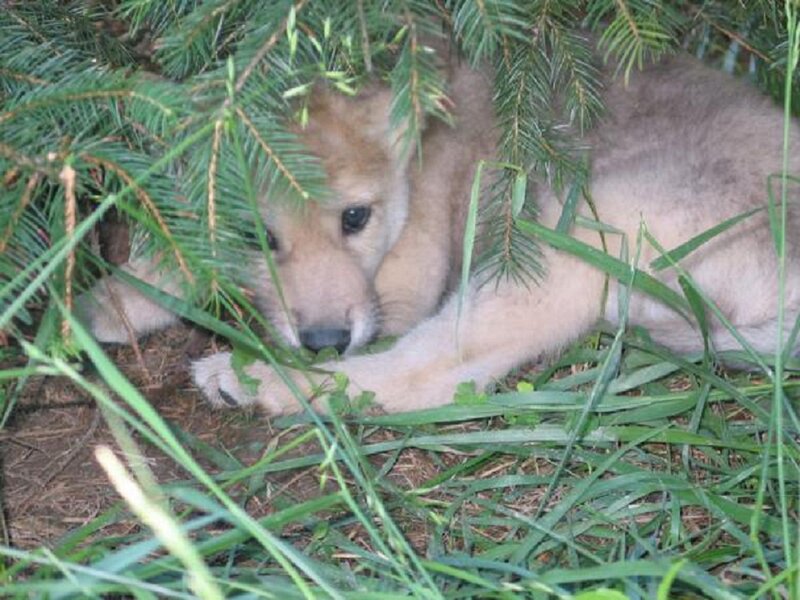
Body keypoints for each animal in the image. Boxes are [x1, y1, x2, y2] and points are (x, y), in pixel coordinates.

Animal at [80, 50, 800, 416]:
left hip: (553, 245)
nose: (323, 341)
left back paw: (253, 381)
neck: (420, 153)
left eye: (355, 218)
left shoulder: (407, 280)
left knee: (421, 375)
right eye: (259, 235)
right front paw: (107, 302)